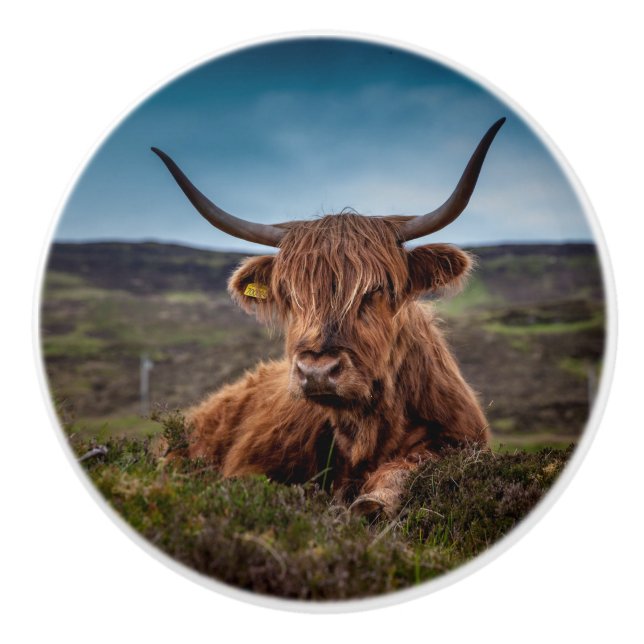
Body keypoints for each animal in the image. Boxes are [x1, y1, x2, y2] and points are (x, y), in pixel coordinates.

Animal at [151, 117, 504, 517]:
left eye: (376, 289)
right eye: (290, 294)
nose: (317, 371)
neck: (366, 431)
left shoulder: (461, 441)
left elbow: (411, 466)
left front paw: (373, 501)